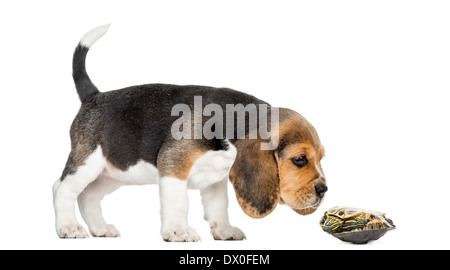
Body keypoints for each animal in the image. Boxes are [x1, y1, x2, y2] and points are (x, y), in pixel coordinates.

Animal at [52, 24, 326, 240]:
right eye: (299, 159)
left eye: (321, 157)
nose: (324, 190)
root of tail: (94, 96)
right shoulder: (173, 165)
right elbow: (179, 202)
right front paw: (178, 231)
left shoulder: (216, 179)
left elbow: (218, 205)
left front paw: (224, 230)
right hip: (88, 163)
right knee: (61, 188)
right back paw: (68, 227)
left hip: (114, 173)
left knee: (88, 196)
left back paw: (99, 228)